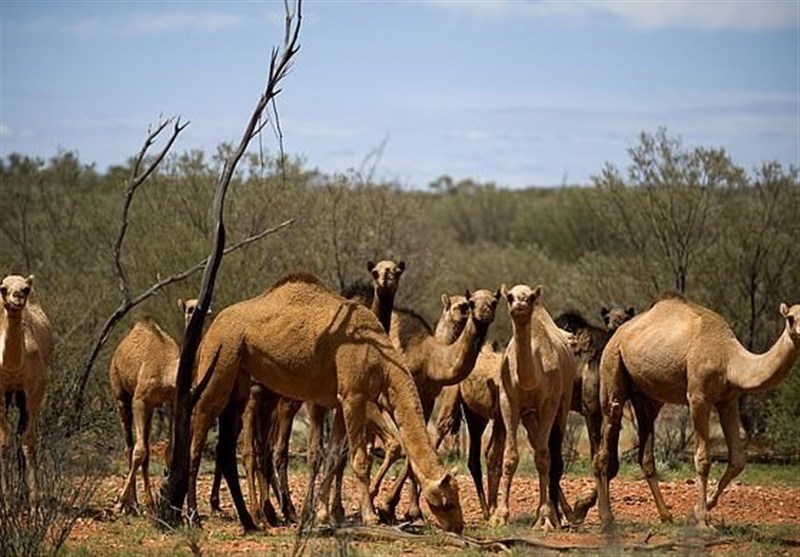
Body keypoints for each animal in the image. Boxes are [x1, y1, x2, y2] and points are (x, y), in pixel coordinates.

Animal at [109, 296, 198, 512]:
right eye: (189, 308)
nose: (202, 310)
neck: (166, 371)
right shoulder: (140, 400)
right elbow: (139, 451)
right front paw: (120, 502)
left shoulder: (173, 401)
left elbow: (167, 450)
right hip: (120, 394)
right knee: (130, 446)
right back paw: (131, 503)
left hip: (149, 409)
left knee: (146, 449)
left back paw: (147, 503)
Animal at [188, 274, 462, 536]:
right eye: (447, 501)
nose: (458, 526)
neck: (383, 363)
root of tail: (212, 327)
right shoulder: (353, 396)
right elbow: (359, 460)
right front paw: (370, 516)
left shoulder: (340, 402)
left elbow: (332, 456)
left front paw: (321, 516)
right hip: (220, 360)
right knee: (199, 428)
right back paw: (196, 517)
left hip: (240, 376)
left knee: (227, 447)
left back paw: (251, 521)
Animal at [490, 284, 580, 528]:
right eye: (510, 297)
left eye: (530, 298)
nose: (520, 305)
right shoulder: (509, 402)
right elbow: (510, 457)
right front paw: (499, 516)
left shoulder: (549, 403)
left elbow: (543, 456)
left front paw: (545, 517)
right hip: (530, 416)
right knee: (540, 444)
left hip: (563, 403)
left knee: (551, 451)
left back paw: (563, 515)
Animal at [592, 292, 800, 528]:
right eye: (790, 318)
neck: (728, 358)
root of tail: (617, 335)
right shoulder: (698, 398)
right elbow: (703, 459)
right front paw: (702, 519)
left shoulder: (728, 400)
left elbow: (738, 460)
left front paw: (698, 510)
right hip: (612, 367)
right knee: (606, 440)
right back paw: (606, 517)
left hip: (646, 396)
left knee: (645, 455)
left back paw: (665, 516)